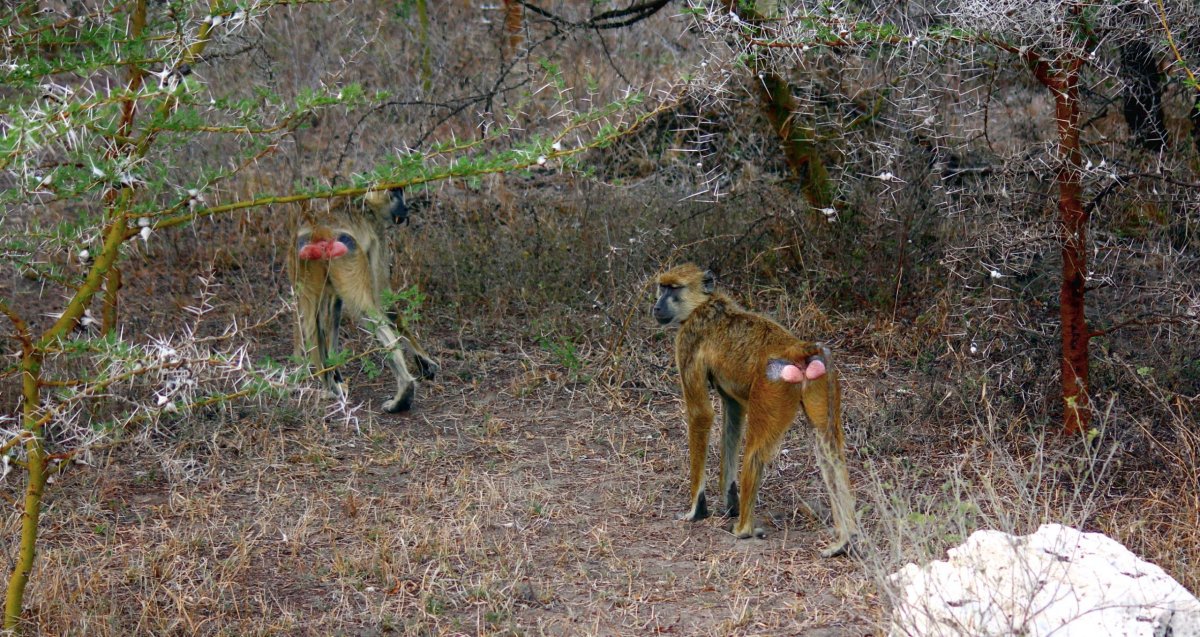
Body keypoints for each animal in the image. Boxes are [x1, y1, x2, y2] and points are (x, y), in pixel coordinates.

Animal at [289, 188, 438, 413]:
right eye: (399, 195)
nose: (405, 209)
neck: (365, 203)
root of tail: (320, 232)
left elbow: (331, 310)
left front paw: (335, 373)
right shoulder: (377, 232)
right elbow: (384, 299)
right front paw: (423, 359)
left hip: (307, 259)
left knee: (312, 322)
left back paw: (328, 386)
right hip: (345, 252)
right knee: (366, 314)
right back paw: (404, 393)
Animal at [652, 263, 857, 557]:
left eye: (673, 288)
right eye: (662, 287)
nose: (656, 307)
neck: (706, 304)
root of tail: (795, 347)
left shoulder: (687, 342)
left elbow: (701, 414)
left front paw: (696, 510)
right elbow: (733, 414)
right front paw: (729, 502)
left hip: (770, 387)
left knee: (756, 453)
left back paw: (743, 529)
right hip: (822, 379)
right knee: (829, 450)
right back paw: (845, 540)